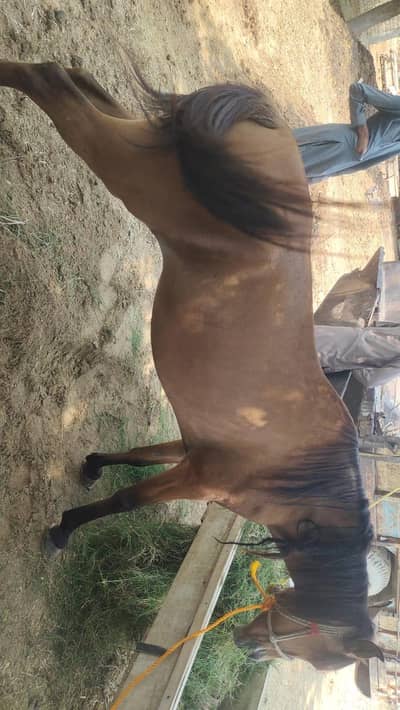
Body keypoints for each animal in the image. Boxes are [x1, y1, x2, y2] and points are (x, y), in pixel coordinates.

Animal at [0, 60, 383, 686]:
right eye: (314, 641)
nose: (252, 650)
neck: (303, 479)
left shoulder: (192, 448)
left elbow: (138, 456)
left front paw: (91, 465)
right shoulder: (199, 476)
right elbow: (128, 500)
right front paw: (62, 529)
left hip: (146, 138)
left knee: (76, 84)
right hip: (129, 167)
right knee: (52, 83)